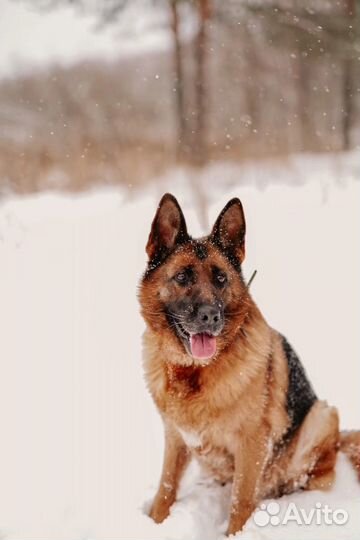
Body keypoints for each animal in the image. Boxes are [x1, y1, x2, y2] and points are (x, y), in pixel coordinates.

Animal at [139, 194, 360, 536]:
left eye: (220, 278)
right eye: (182, 277)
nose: (210, 316)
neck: (193, 372)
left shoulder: (252, 445)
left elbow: (240, 502)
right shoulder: (175, 438)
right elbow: (166, 489)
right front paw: (157, 523)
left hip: (321, 416)